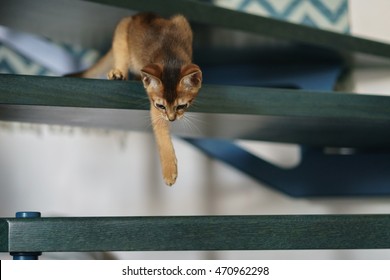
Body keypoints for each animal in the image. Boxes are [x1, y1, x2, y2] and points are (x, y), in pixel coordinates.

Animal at [71, 12, 203, 186]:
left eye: (182, 106)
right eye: (161, 106)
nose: (171, 118)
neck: (170, 58)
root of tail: (138, 15)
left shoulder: (181, 22)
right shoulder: (156, 110)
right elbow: (162, 134)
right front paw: (169, 171)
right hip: (122, 29)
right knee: (121, 57)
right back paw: (118, 73)